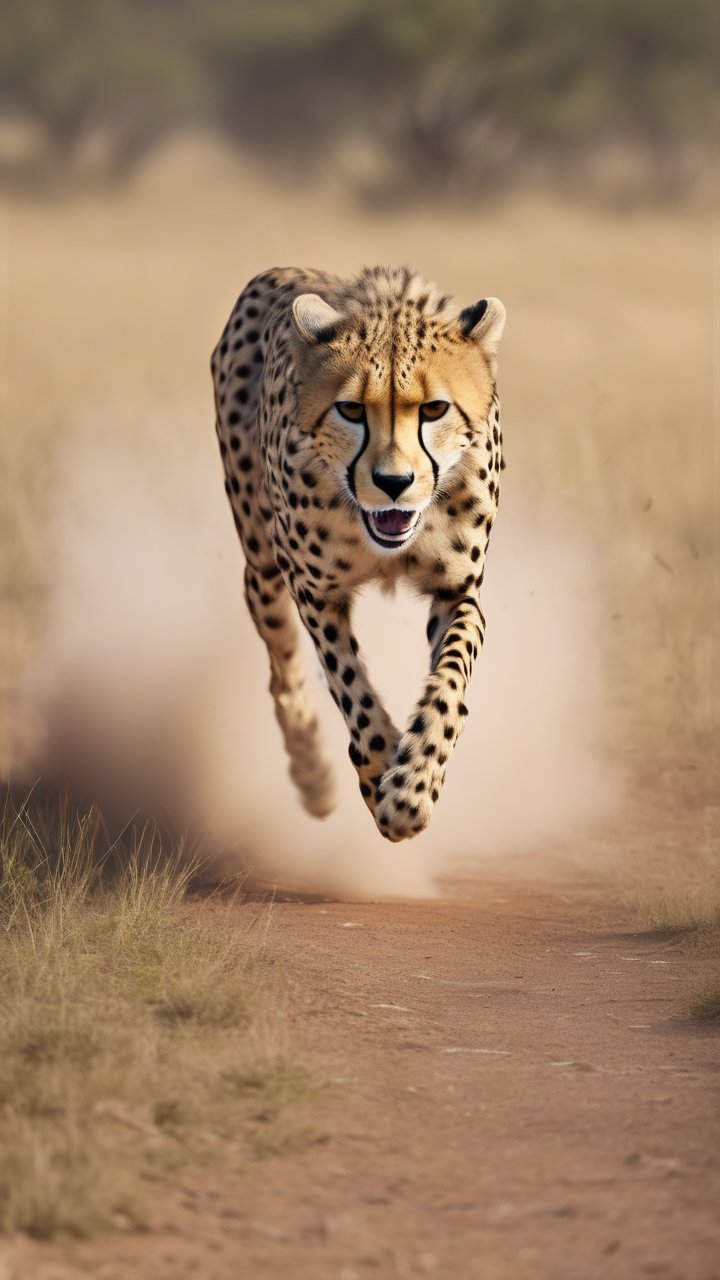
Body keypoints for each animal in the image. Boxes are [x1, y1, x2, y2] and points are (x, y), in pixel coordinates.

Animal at [211, 265, 505, 843]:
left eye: (434, 408)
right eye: (350, 409)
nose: (393, 483)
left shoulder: (458, 592)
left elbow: (448, 686)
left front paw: (412, 787)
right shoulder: (313, 592)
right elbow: (350, 687)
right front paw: (379, 776)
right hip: (262, 567)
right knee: (283, 672)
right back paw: (310, 773)